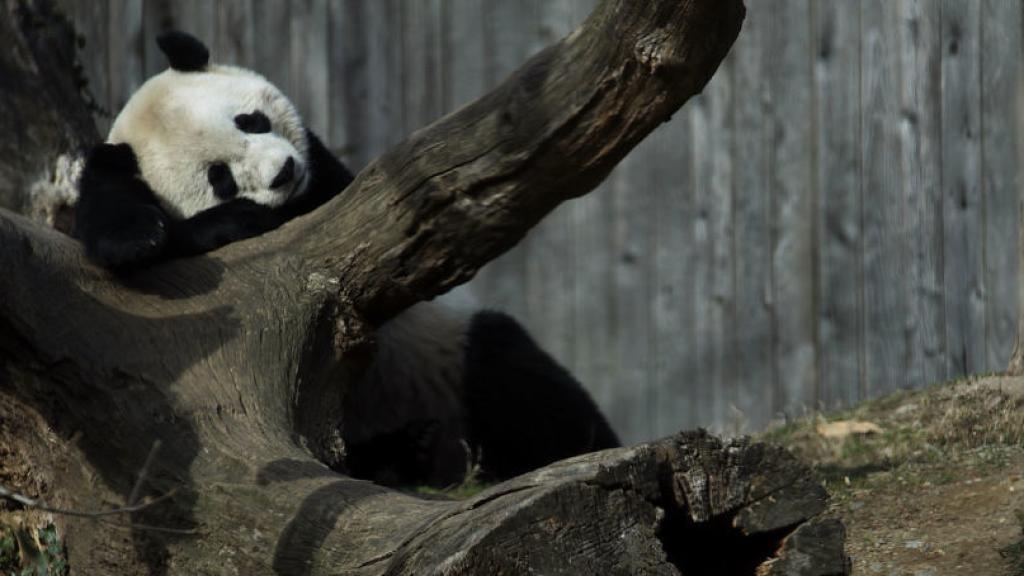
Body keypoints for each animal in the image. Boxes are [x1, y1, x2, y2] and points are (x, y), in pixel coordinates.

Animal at [75, 31, 619, 487]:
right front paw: (147, 234)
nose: (282, 172)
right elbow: (125, 240)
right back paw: (405, 451)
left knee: (517, 374)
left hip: (449, 354)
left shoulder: (332, 192)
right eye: (219, 178)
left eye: (249, 120)